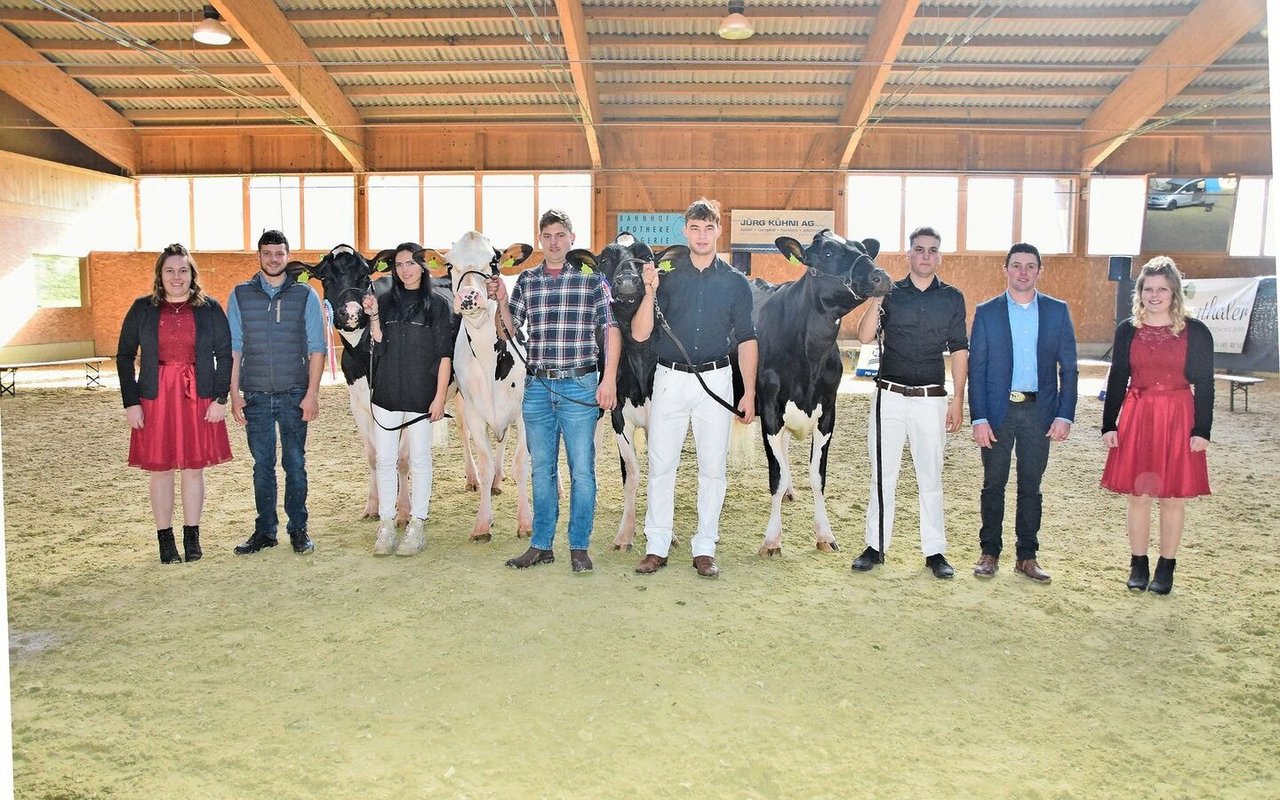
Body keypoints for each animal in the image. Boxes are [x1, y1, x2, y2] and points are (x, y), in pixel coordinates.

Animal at [291, 247, 407, 522]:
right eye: (325, 278)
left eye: (365, 275)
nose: (352, 312)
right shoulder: (359, 405)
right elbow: (375, 455)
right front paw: (375, 505)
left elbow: (402, 458)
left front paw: (403, 510)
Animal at [417, 232, 532, 542]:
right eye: (449, 264)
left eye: (493, 261)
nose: (468, 297)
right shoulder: (474, 410)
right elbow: (485, 460)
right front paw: (482, 524)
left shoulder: (525, 411)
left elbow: (522, 464)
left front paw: (526, 522)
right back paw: (480, 480)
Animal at [747, 230, 890, 555]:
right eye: (827, 253)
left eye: (863, 249)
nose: (881, 276)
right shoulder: (770, 410)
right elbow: (776, 475)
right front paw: (772, 539)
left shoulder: (828, 411)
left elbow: (817, 476)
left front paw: (825, 534)